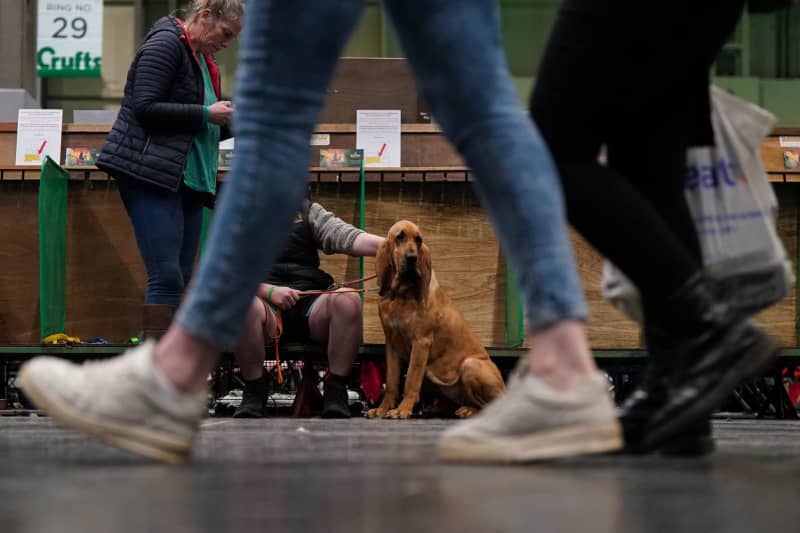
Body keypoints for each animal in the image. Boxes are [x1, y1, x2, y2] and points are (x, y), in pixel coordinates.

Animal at [366, 218, 504, 418]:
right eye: (399, 237)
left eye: (419, 240)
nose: (412, 257)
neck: (401, 294)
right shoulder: (391, 344)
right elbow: (391, 382)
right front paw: (382, 409)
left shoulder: (421, 342)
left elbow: (411, 380)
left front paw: (402, 409)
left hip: (470, 365)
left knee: (490, 406)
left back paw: (469, 411)